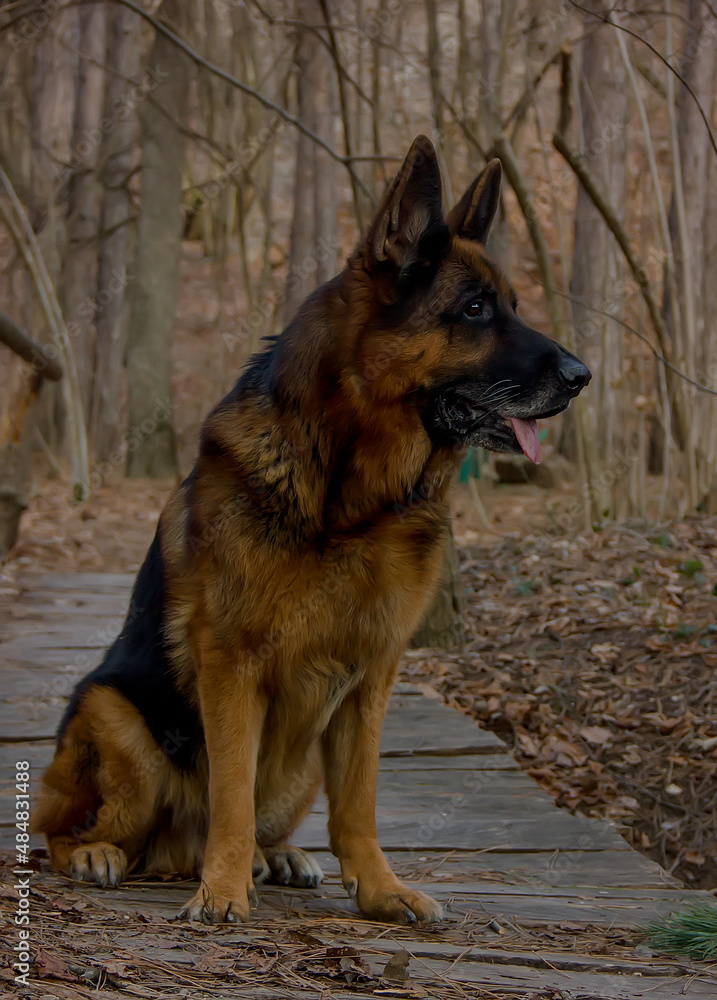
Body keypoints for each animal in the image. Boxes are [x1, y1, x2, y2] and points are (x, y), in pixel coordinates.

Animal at [32, 137, 588, 924]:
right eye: (476, 309)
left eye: (510, 305)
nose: (581, 374)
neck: (353, 498)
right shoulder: (231, 667)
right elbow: (231, 796)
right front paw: (223, 890)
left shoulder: (370, 678)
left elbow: (358, 803)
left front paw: (379, 889)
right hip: (119, 724)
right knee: (59, 827)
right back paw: (102, 854)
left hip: (299, 764)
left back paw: (276, 856)